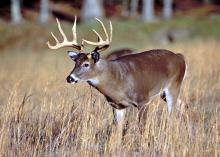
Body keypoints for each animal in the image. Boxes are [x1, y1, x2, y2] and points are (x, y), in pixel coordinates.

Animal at [46, 16, 186, 131]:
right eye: (75, 63)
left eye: (86, 64)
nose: (69, 78)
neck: (118, 82)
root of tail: (180, 56)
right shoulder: (117, 106)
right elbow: (117, 131)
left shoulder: (143, 100)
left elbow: (142, 128)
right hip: (163, 93)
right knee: (182, 104)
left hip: (174, 84)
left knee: (172, 113)